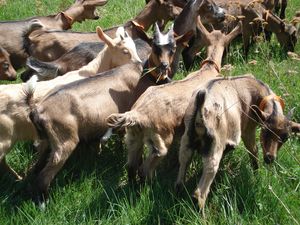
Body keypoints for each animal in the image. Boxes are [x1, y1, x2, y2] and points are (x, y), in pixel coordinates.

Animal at [25, 23, 192, 207]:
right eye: (155, 47)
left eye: (173, 48)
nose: (164, 66)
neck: (143, 74)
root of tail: (37, 109)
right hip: (64, 141)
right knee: (44, 176)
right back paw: (43, 204)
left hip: (46, 141)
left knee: (36, 168)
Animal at [106, 18, 241, 183]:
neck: (208, 69)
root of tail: (136, 114)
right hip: (160, 139)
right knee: (145, 168)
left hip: (133, 137)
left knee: (131, 167)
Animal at [175, 75, 300, 209]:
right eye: (265, 131)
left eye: (285, 137)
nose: (269, 158)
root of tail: (201, 109)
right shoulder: (248, 129)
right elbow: (253, 150)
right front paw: (256, 174)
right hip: (215, 145)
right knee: (201, 191)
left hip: (186, 141)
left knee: (181, 172)